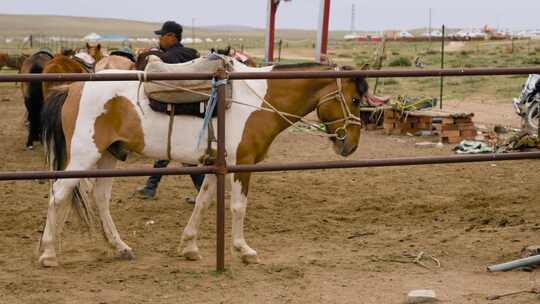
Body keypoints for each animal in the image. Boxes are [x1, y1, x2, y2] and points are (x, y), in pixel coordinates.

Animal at [35, 58, 370, 268]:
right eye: (354, 100)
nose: (351, 145)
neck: (259, 100)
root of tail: (73, 87)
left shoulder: (215, 165)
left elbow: (203, 202)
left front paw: (189, 247)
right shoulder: (242, 164)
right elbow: (238, 207)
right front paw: (244, 250)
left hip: (108, 155)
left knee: (100, 197)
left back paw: (120, 247)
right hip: (84, 155)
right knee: (58, 195)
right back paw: (49, 253)